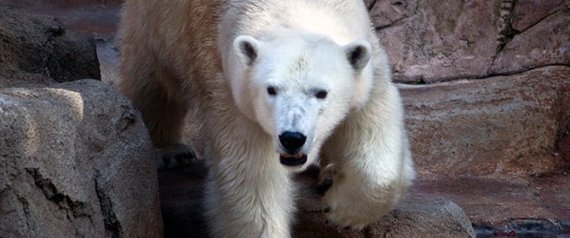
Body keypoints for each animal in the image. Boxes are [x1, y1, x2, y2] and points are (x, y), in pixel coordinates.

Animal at [118, 0, 412, 237]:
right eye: (271, 89)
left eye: (321, 93)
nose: (292, 138)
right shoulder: (228, 84)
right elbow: (251, 175)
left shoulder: (367, 63)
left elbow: (373, 120)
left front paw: (340, 210)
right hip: (158, 19)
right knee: (151, 77)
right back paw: (169, 150)